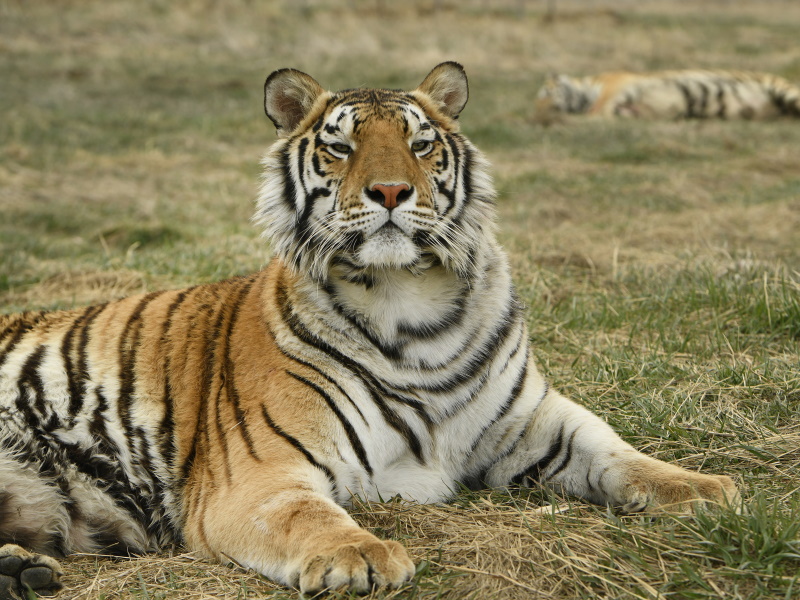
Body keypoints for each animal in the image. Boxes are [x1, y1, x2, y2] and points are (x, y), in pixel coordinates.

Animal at [0, 62, 739, 598]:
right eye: (340, 146)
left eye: (420, 143)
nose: (389, 192)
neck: (412, 308)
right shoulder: (259, 476)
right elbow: (308, 513)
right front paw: (360, 554)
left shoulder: (529, 421)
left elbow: (616, 451)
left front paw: (705, 488)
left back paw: (24, 570)